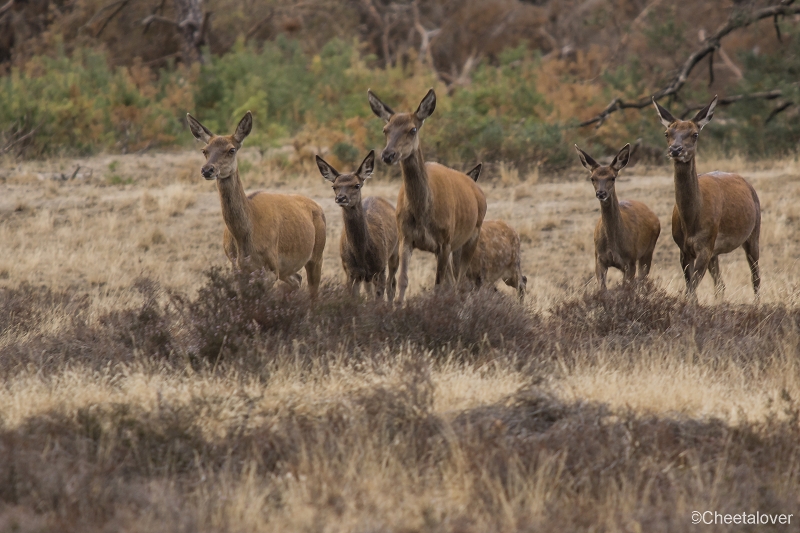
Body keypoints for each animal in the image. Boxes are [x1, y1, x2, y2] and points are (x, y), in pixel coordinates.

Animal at [186, 110, 326, 298]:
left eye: (231, 149)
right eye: (204, 150)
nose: (207, 170)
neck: (245, 237)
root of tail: (318, 207)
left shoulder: (270, 268)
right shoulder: (236, 267)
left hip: (317, 254)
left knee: (313, 291)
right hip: (286, 268)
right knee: (297, 279)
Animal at [314, 150, 398, 302]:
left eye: (357, 185)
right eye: (334, 186)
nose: (341, 198)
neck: (362, 256)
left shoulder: (380, 269)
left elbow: (379, 300)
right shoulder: (350, 272)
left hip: (396, 250)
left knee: (392, 284)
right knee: (369, 289)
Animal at [368, 89, 488, 302]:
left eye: (412, 129)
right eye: (385, 129)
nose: (388, 155)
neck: (423, 213)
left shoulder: (444, 241)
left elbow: (439, 286)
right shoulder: (405, 237)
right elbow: (403, 281)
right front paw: (398, 306)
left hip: (471, 235)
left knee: (460, 282)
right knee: (454, 281)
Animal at [576, 143, 664, 288]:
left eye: (612, 177)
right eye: (592, 178)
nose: (601, 193)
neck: (613, 244)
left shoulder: (630, 261)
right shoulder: (598, 259)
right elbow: (602, 289)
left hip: (648, 250)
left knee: (643, 279)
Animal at [648, 95, 764, 300]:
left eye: (695, 134)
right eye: (667, 133)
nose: (675, 150)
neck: (691, 222)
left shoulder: (705, 246)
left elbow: (691, 289)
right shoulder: (684, 249)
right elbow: (691, 290)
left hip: (754, 231)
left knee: (755, 277)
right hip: (715, 250)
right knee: (721, 285)